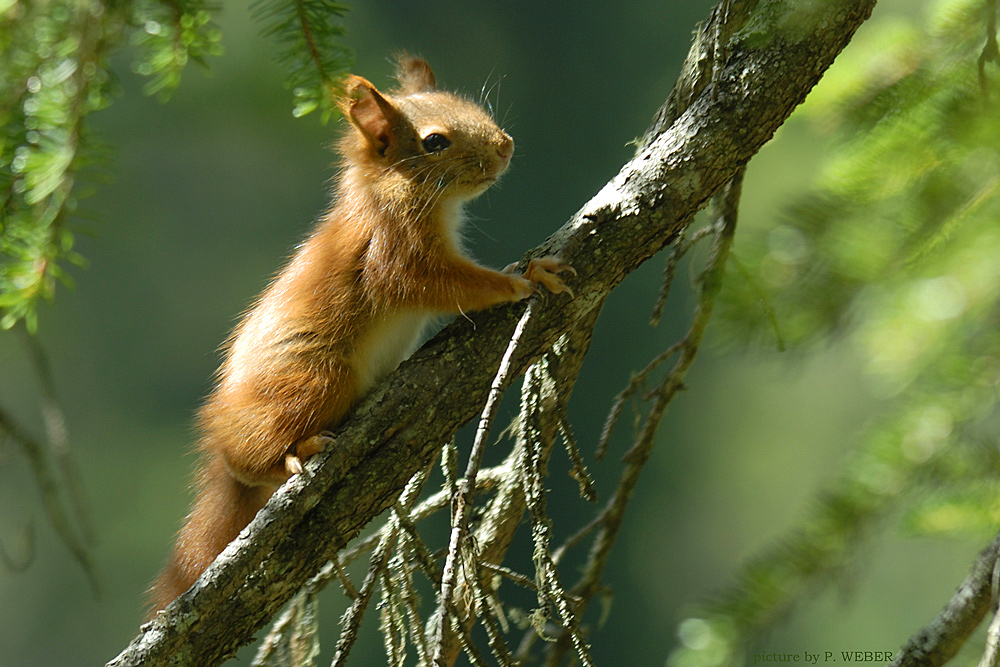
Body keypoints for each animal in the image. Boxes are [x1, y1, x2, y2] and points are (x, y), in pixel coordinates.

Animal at [145, 57, 576, 616]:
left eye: (468, 104)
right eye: (434, 141)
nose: (505, 146)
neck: (393, 194)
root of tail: (218, 437)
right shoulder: (395, 253)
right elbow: (446, 284)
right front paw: (523, 278)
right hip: (320, 380)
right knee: (249, 460)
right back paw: (292, 455)